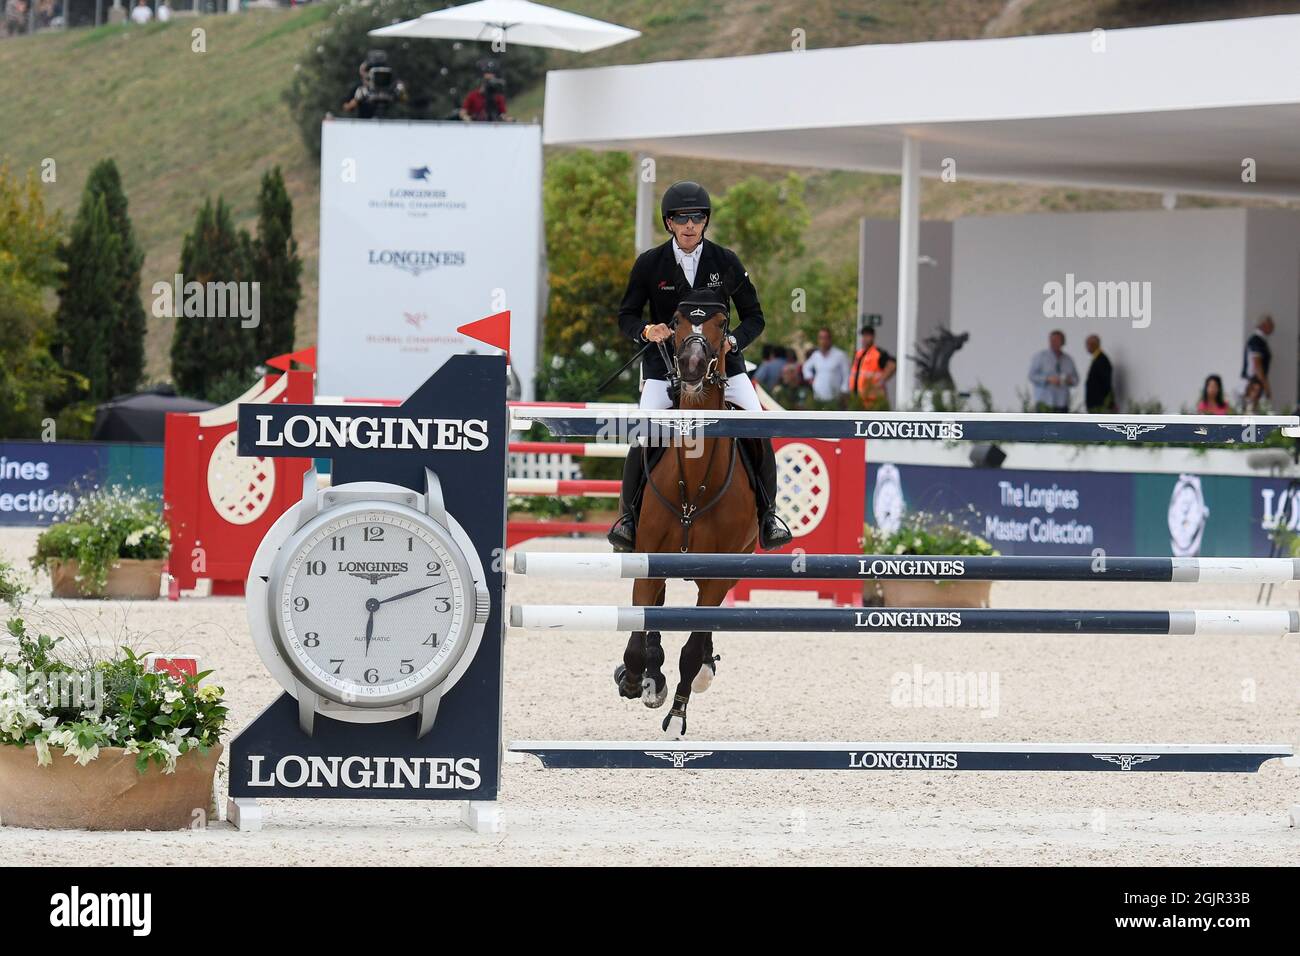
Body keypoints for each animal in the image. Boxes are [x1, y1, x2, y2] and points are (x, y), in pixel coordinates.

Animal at [616, 303, 759, 738]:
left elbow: (693, 648)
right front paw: (636, 679)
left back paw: (703, 670)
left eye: (722, 324)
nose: (693, 366)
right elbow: (640, 628)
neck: (693, 483)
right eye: (676, 323)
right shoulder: (648, 558)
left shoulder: (716, 576)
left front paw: (677, 713)